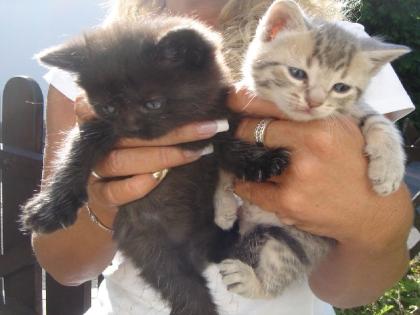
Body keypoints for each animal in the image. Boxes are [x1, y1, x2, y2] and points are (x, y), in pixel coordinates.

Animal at [215, 0, 408, 302]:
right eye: (297, 73)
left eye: (340, 87)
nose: (314, 102)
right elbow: (224, 157)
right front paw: (222, 204)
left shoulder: (349, 112)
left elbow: (380, 122)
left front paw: (388, 170)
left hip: (293, 242)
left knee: (278, 275)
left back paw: (252, 282)